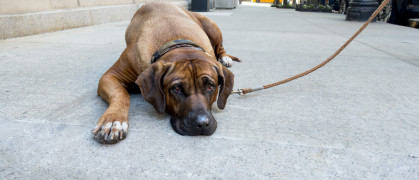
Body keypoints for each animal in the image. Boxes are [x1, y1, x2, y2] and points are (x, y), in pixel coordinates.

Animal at [93, 1, 241, 143]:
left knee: (220, 48)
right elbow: (120, 93)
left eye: (210, 86)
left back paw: (224, 58)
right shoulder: (110, 76)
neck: (176, 41)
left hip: (211, 26)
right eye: (177, 89)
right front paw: (113, 120)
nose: (202, 124)